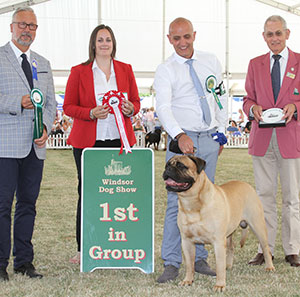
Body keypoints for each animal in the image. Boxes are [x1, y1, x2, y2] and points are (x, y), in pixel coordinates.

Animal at [163, 155, 276, 292]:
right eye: (167, 164)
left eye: (181, 166)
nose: (167, 169)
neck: (191, 203)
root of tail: (246, 184)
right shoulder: (187, 242)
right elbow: (190, 265)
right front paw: (188, 281)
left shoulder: (217, 242)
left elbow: (219, 266)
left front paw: (220, 285)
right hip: (228, 234)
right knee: (231, 247)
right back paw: (228, 265)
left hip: (258, 226)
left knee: (265, 248)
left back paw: (269, 267)